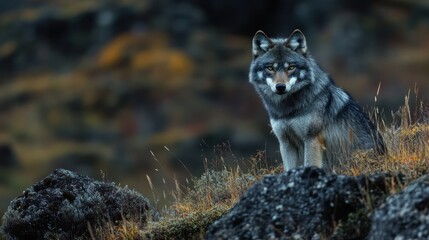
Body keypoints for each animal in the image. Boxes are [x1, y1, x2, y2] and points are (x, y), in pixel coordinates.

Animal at [247, 29, 384, 172]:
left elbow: (310, 164)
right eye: (270, 68)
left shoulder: (312, 140)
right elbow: (289, 168)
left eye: (291, 67)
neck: (288, 109)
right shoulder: (285, 143)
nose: (280, 87)